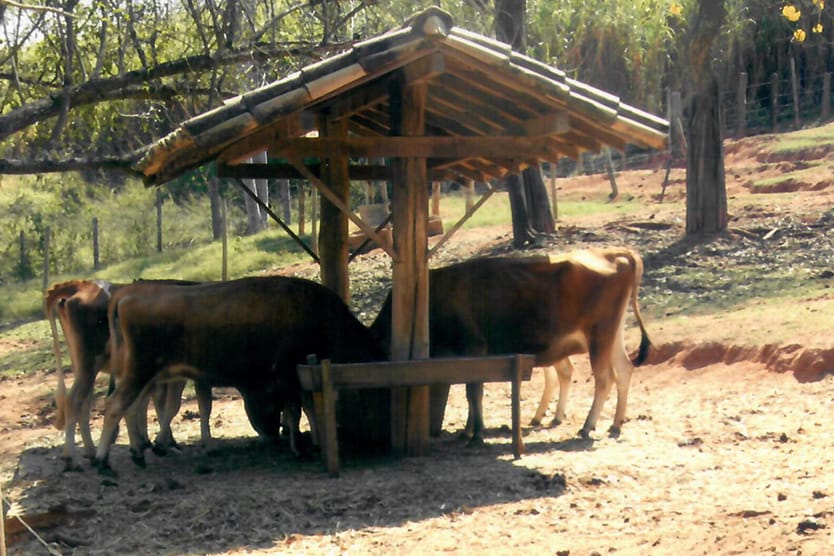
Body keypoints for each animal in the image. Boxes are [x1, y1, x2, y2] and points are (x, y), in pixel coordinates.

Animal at [94, 274, 386, 474]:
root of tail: (126, 296)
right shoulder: (287, 372)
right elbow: (295, 410)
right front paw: (299, 449)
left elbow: (308, 407)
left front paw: (311, 441)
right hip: (141, 373)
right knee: (116, 405)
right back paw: (102, 462)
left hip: (146, 376)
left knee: (132, 408)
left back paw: (138, 454)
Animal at [370, 248, 648, 444]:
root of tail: (613, 253)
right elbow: (472, 393)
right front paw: (468, 431)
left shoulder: (475, 349)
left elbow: (473, 392)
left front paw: (476, 434)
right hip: (612, 335)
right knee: (624, 370)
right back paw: (615, 424)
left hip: (600, 336)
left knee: (604, 378)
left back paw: (587, 426)